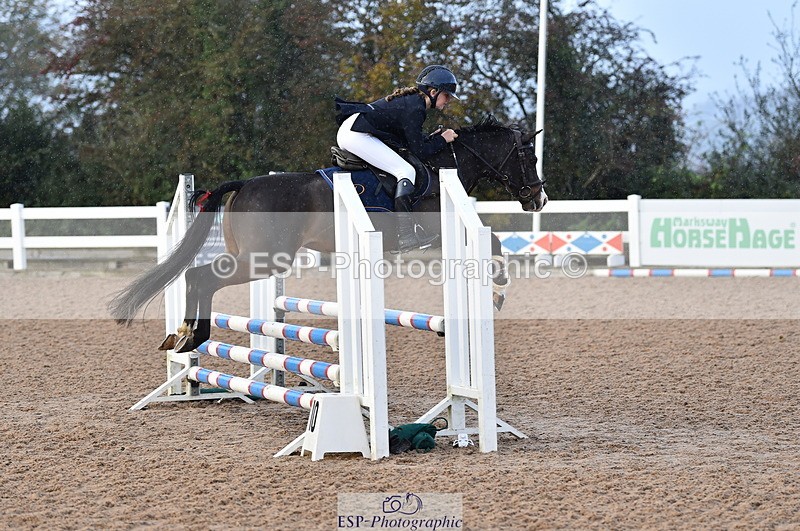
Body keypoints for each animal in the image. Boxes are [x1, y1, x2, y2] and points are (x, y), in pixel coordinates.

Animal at [110, 115, 548, 352]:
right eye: (528, 156)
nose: (538, 198)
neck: (444, 168)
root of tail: (245, 183)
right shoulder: (436, 230)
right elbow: (493, 243)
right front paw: (499, 290)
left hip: (253, 256)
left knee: (195, 275)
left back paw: (183, 334)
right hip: (264, 259)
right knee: (201, 276)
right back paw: (192, 334)